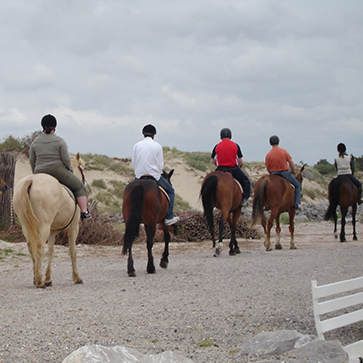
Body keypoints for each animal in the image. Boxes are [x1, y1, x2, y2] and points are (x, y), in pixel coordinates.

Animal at [13, 155, 85, 288]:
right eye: (82, 169)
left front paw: (48, 278)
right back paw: (39, 281)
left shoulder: (53, 231)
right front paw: (77, 277)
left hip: (26, 225)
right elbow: (73, 252)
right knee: (39, 245)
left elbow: (51, 252)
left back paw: (37, 278)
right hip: (43, 226)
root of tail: (31, 180)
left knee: (31, 247)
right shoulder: (73, 228)